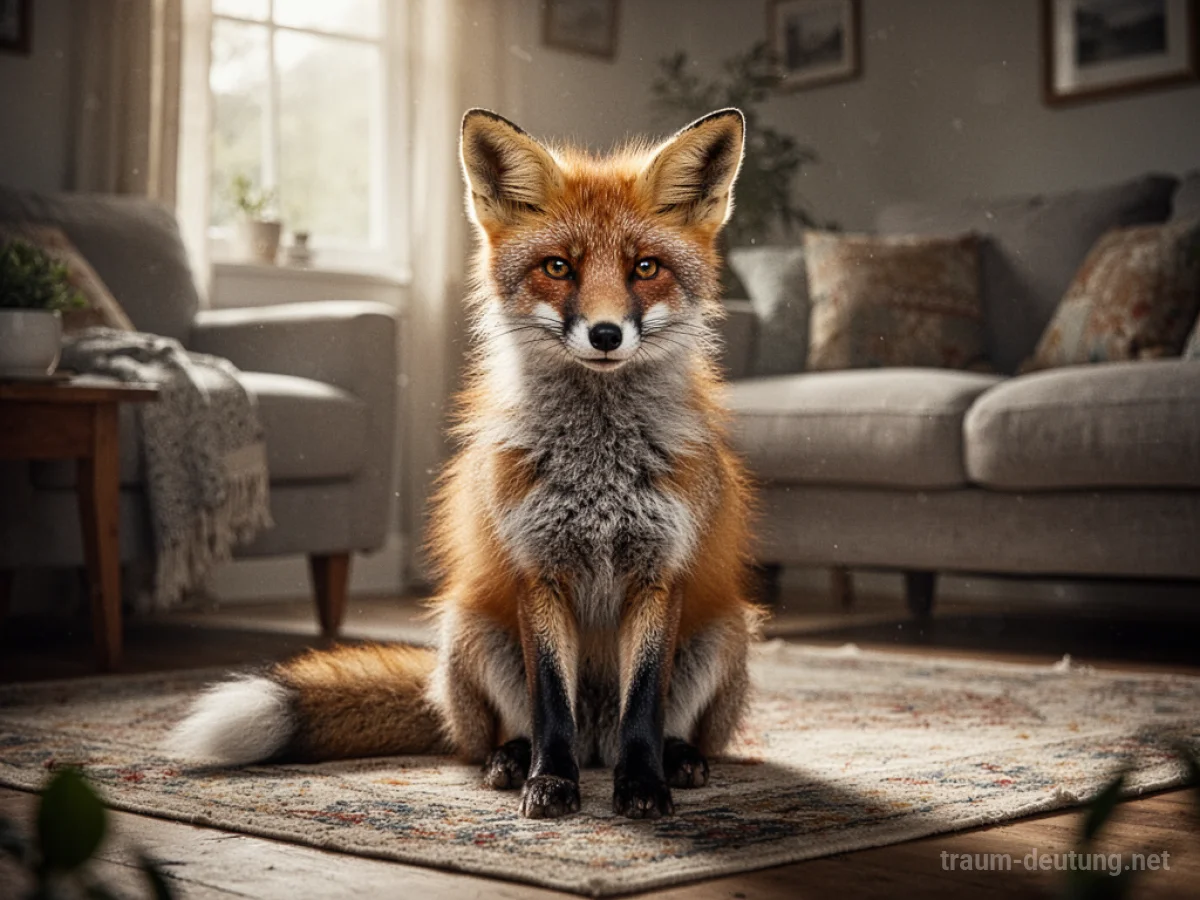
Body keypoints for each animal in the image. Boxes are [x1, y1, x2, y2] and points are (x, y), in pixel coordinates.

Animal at [170, 107, 758, 820]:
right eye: (558, 267)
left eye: (645, 267)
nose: (606, 334)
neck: (599, 466)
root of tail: (598, 746)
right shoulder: (538, 572)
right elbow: (550, 704)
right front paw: (549, 782)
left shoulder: (659, 573)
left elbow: (643, 702)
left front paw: (644, 785)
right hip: (471, 628)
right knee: (497, 735)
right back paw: (511, 759)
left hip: (723, 629)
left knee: (655, 722)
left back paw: (679, 758)